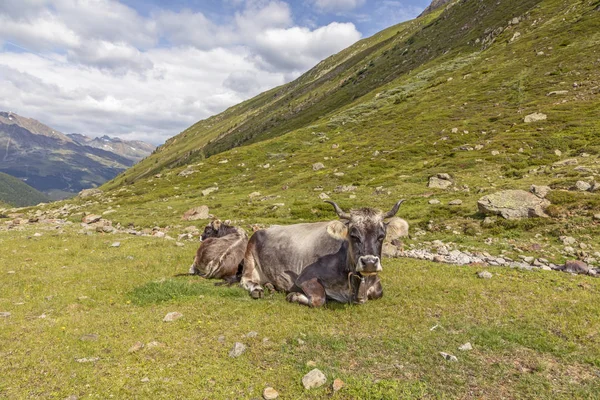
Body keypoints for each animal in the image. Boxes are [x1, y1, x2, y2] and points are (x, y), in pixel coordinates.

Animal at [241, 200, 406, 306]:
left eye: (381, 236)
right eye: (353, 235)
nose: (370, 263)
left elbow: (378, 293)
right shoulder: (305, 278)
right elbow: (319, 299)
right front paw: (294, 295)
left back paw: (270, 286)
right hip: (249, 255)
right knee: (246, 280)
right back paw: (257, 289)